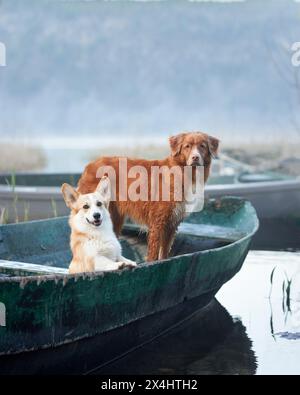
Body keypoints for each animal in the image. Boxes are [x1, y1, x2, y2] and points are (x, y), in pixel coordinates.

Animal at [77, 132, 218, 262]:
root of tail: (90, 165)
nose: (195, 157)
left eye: (202, 146)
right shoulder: (158, 222)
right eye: (187, 146)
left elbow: (164, 254)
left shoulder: (172, 223)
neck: (182, 173)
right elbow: (153, 255)